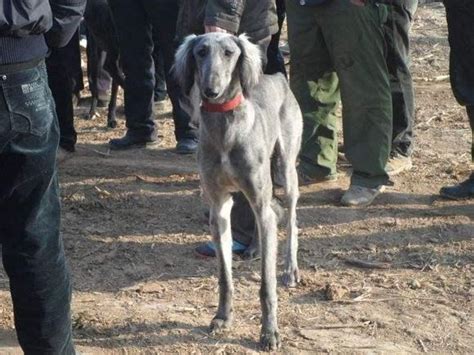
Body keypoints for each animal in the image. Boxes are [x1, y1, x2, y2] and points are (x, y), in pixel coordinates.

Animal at [174, 32, 304, 350]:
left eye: (229, 53)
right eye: (200, 52)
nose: (211, 91)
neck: (225, 127)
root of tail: (277, 77)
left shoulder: (259, 196)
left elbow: (266, 285)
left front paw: (269, 333)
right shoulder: (219, 208)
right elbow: (224, 276)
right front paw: (222, 317)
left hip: (286, 168)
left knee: (291, 218)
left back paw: (290, 269)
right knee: (268, 216)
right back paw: (256, 247)